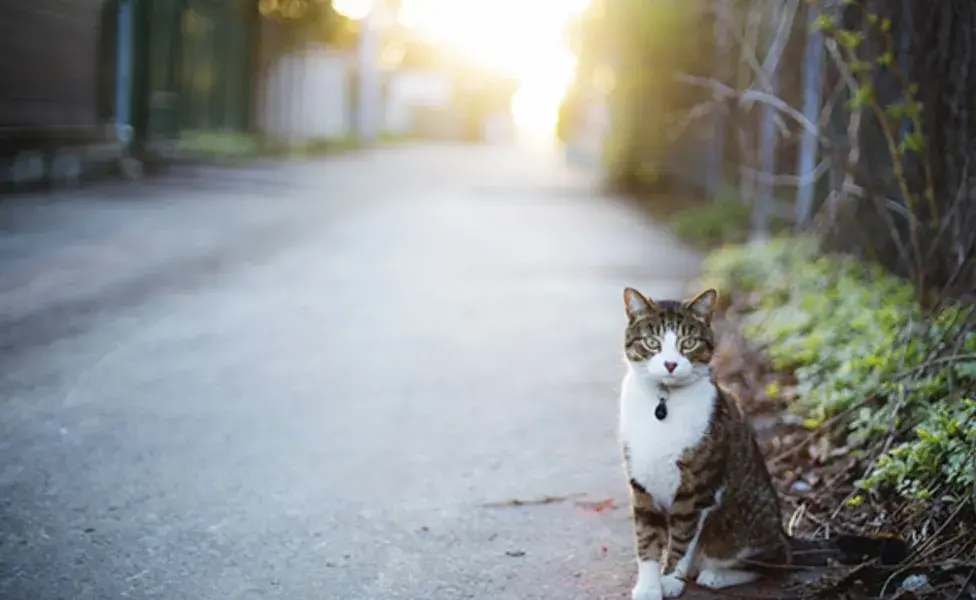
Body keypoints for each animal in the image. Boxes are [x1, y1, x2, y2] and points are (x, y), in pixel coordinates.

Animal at [620, 288, 788, 596]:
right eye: (652, 343)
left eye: (688, 343)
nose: (670, 364)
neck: (664, 402)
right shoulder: (641, 480)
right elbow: (647, 537)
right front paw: (649, 587)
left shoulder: (697, 488)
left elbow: (683, 537)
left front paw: (670, 580)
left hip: (748, 528)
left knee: (772, 563)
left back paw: (716, 576)